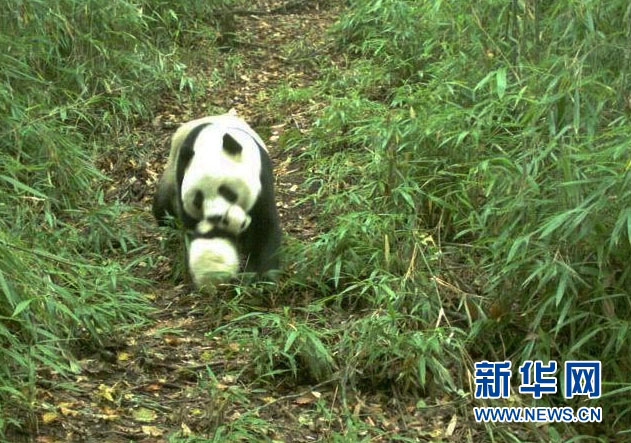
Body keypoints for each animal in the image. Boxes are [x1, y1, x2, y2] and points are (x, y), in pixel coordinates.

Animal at [153, 114, 282, 288]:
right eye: (198, 200)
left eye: (227, 192)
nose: (216, 217)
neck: (211, 142)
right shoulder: (181, 175)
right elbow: (195, 230)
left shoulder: (262, 177)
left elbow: (264, 225)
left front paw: (261, 278)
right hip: (171, 172)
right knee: (162, 206)